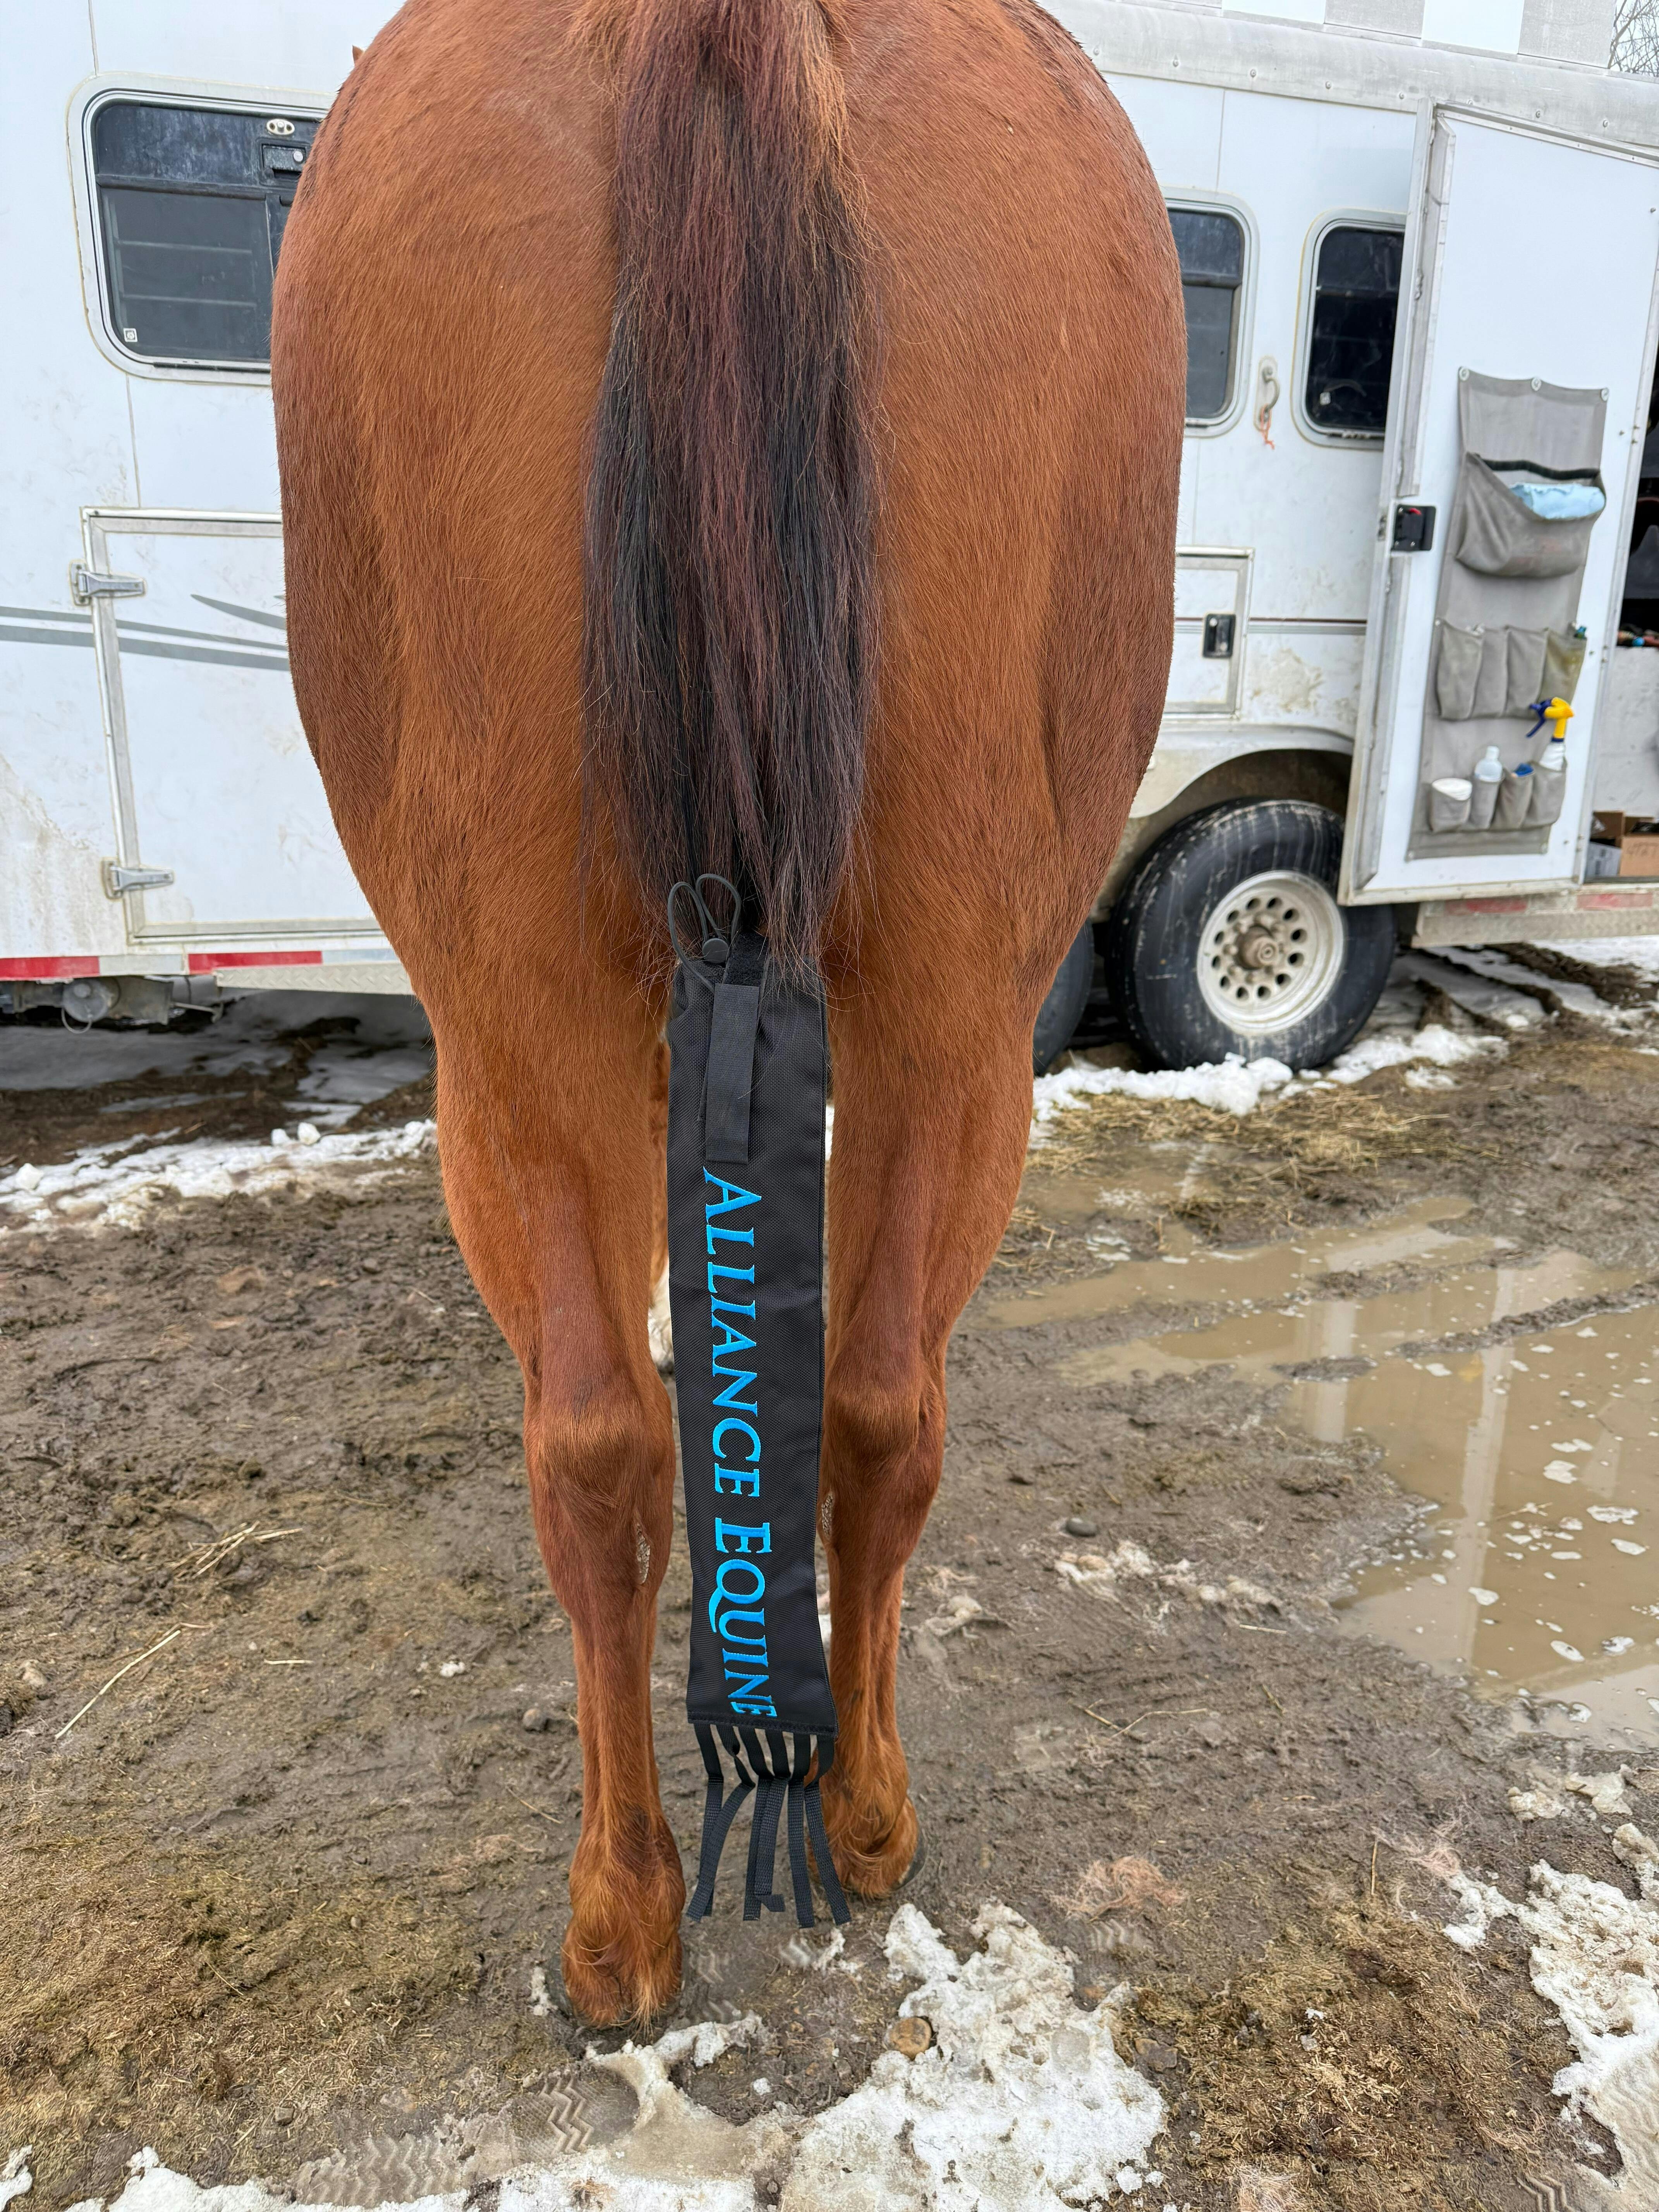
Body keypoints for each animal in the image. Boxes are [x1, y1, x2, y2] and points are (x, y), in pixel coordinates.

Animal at [272, 0, 1183, 2025]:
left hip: (513, 1033)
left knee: (602, 1437)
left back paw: (636, 1913)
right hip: (942, 1004)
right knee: (860, 1400)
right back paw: (844, 1825)